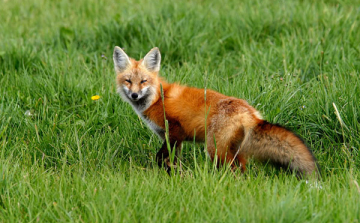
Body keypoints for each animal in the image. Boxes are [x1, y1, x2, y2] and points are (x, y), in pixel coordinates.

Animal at [112, 46, 318, 178]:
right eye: (128, 80)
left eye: (144, 81)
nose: (134, 95)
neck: (157, 99)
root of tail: (250, 112)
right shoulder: (174, 139)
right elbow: (172, 160)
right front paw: (174, 174)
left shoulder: (175, 131)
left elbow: (161, 158)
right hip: (233, 150)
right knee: (243, 171)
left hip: (215, 150)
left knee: (233, 172)